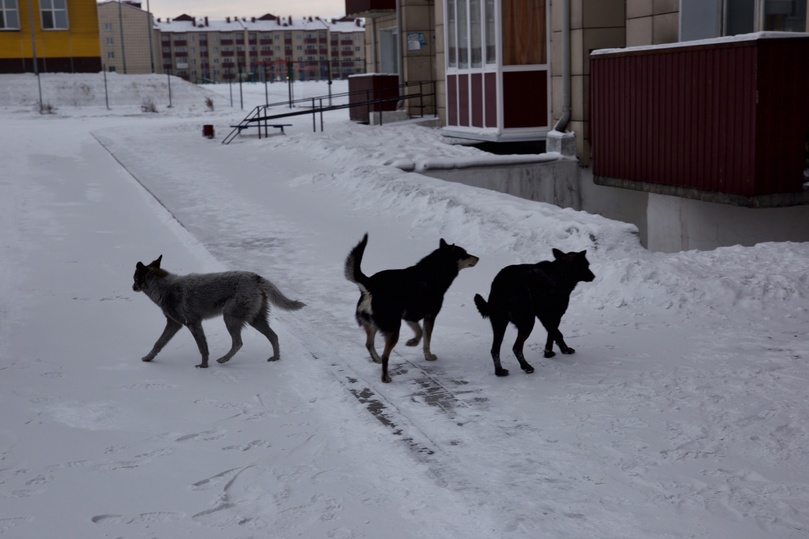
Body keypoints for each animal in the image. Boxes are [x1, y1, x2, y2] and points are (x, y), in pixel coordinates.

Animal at [134, 256, 304, 368]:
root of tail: (256, 277)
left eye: (135, 278)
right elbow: (158, 343)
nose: (132, 287)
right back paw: (275, 358)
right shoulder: (174, 324)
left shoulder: (192, 324)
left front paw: (203, 366)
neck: (164, 288)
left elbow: (203, 348)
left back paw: (223, 359)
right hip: (255, 320)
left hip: (230, 318)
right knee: (273, 336)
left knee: (238, 343)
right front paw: (148, 358)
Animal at [342, 235, 480, 384]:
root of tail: (370, 285)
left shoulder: (410, 315)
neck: (434, 272)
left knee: (369, 344)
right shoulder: (430, 315)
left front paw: (412, 342)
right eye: (465, 254)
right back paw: (385, 377)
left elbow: (420, 333)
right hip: (393, 327)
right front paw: (428, 356)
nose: (478, 258)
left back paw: (377, 359)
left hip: (373, 324)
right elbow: (426, 339)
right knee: (385, 355)